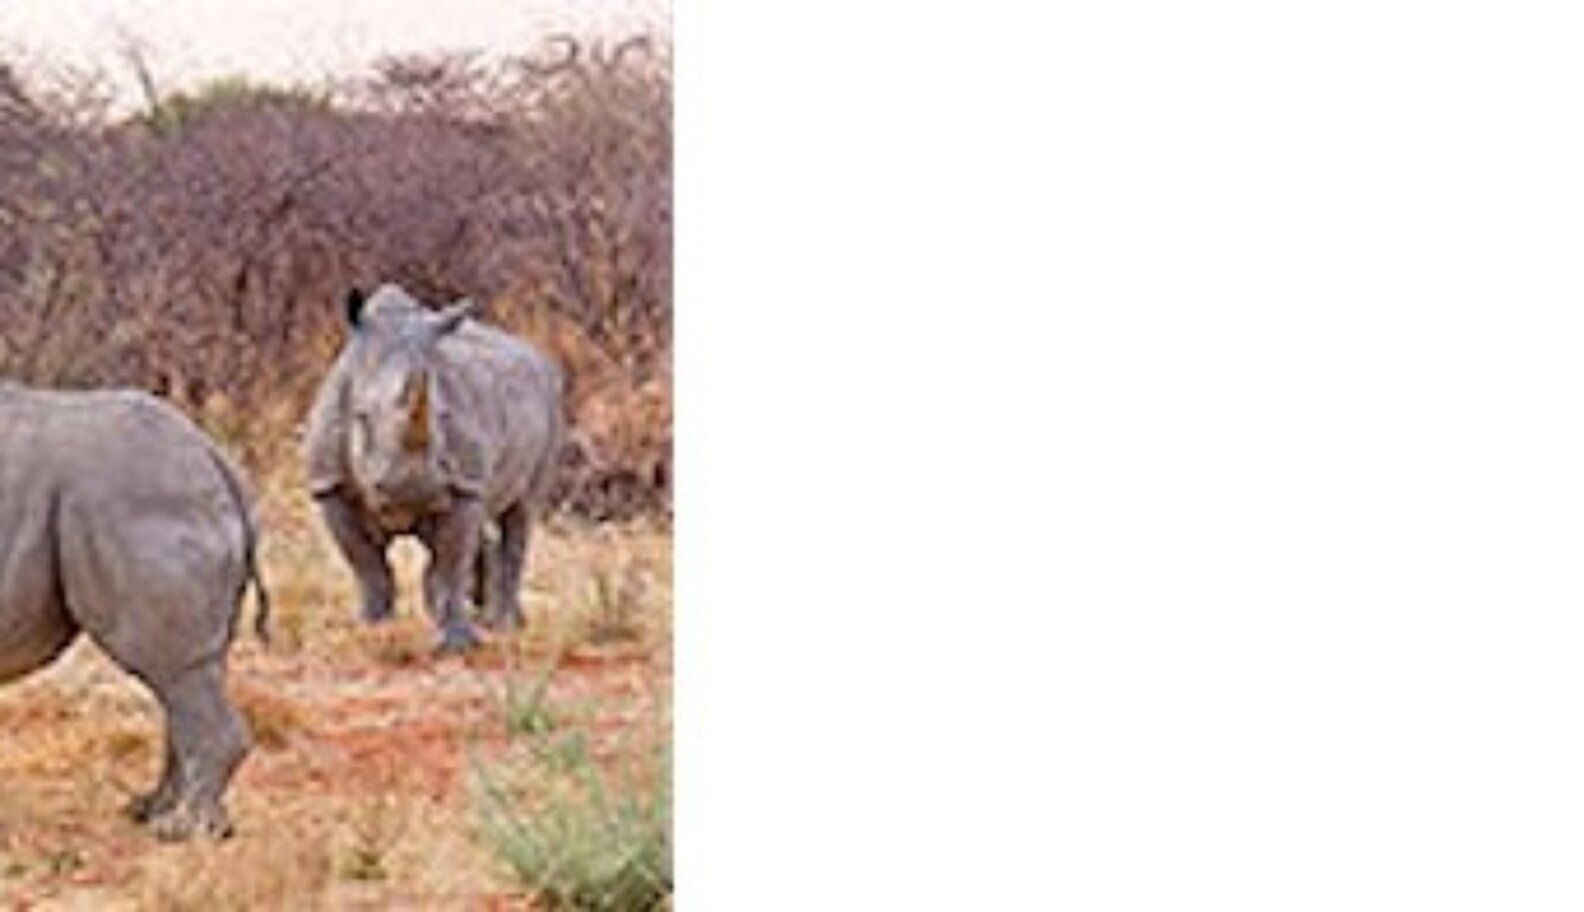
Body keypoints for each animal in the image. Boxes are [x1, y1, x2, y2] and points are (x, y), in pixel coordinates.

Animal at [0, 382, 269, 839]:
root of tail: (213, 455)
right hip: (153, 497)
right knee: (188, 675)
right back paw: (158, 813)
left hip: (134, 500)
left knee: (171, 669)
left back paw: (182, 829)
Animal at [303, 284, 564, 651]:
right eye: (361, 418)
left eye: (443, 417)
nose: (411, 493)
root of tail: (538, 357)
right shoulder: (329, 484)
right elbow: (366, 564)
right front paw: (372, 628)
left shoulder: (464, 485)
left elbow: (450, 564)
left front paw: (457, 646)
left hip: (552, 404)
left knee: (522, 513)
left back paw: (505, 627)